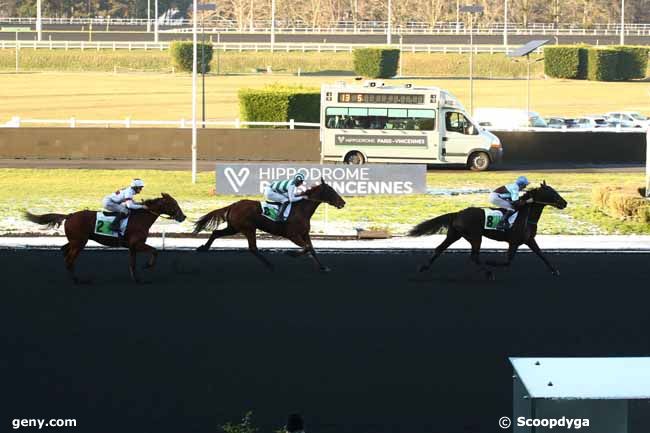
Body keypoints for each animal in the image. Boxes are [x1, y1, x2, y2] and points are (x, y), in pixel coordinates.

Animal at [24, 193, 185, 284]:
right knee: (69, 259)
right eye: (173, 204)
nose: (183, 217)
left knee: (64, 251)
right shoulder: (137, 243)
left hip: (75, 241)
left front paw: (137, 279)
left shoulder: (133, 246)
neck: (140, 218)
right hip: (79, 243)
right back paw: (78, 280)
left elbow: (132, 264)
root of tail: (69, 216)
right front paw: (147, 265)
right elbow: (155, 251)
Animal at [192, 179, 344, 270]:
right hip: (248, 228)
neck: (301, 210)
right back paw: (270, 264)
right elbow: (306, 247)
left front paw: (323, 267)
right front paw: (290, 253)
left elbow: (311, 249)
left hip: (234, 227)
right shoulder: (292, 235)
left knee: (216, 233)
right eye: (331, 191)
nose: (343, 202)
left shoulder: (304, 233)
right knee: (253, 248)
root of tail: (234, 204)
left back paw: (203, 248)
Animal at [410, 181, 568, 276]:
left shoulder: (529, 240)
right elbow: (508, 260)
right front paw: (491, 262)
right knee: (474, 256)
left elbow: (542, 254)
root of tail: (458, 213)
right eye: (551, 192)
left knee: (439, 249)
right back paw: (488, 272)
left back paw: (423, 267)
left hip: (455, 235)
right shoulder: (514, 242)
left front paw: (555, 271)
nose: (564, 203)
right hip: (475, 236)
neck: (526, 215)